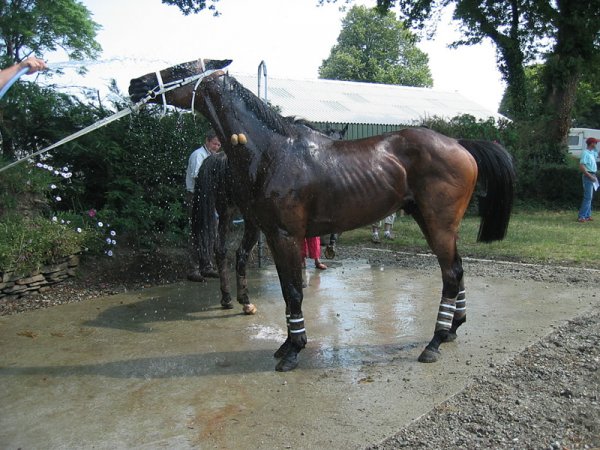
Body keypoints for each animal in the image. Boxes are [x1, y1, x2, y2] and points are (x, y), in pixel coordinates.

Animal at [130, 58, 516, 370]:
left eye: (179, 68)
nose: (136, 84)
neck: (271, 150)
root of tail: (460, 144)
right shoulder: (273, 234)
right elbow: (288, 288)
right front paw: (287, 342)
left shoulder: (285, 235)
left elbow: (294, 292)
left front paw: (293, 350)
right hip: (436, 223)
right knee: (458, 269)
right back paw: (452, 329)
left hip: (438, 223)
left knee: (451, 274)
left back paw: (434, 342)